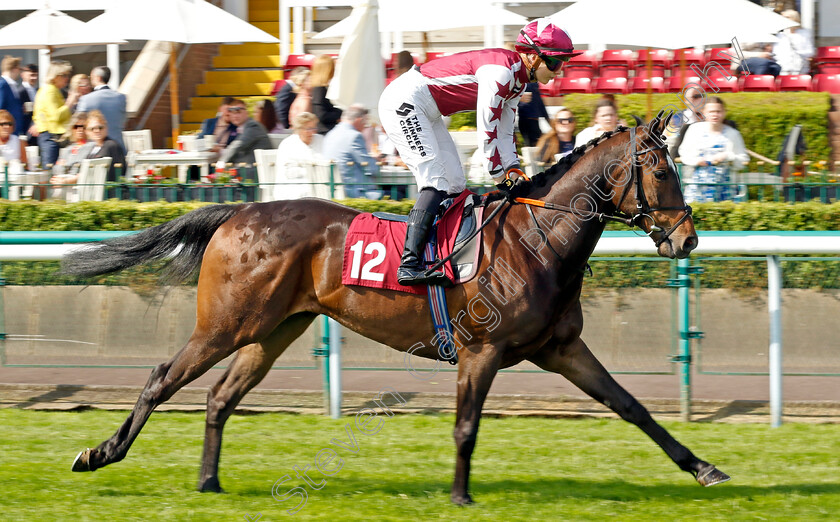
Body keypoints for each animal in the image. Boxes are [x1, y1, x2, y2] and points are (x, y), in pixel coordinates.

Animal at [65, 112, 728, 500]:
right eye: (661, 169)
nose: (687, 239)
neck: (536, 240)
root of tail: (238, 209)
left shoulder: (560, 348)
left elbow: (631, 406)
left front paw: (703, 468)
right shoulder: (481, 350)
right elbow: (466, 426)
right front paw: (460, 495)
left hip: (275, 329)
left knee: (219, 398)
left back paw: (208, 480)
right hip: (227, 323)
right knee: (162, 376)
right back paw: (99, 454)